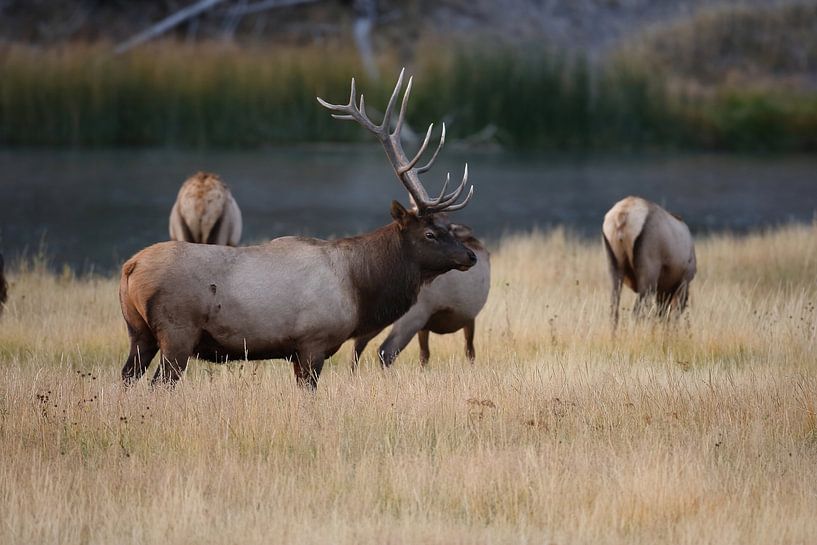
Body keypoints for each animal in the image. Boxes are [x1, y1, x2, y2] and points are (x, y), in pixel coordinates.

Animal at [351, 216, 490, 368]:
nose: (471, 257)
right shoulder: (469, 315)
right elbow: (469, 350)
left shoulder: (426, 325)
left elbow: (424, 354)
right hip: (412, 316)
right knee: (386, 350)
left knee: (358, 345)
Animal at [602, 196, 696, 329]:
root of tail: (622, 216)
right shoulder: (684, 280)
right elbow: (672, 314)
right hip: (648, 276)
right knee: (636, 312)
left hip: (614, 269)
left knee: (613, 311)